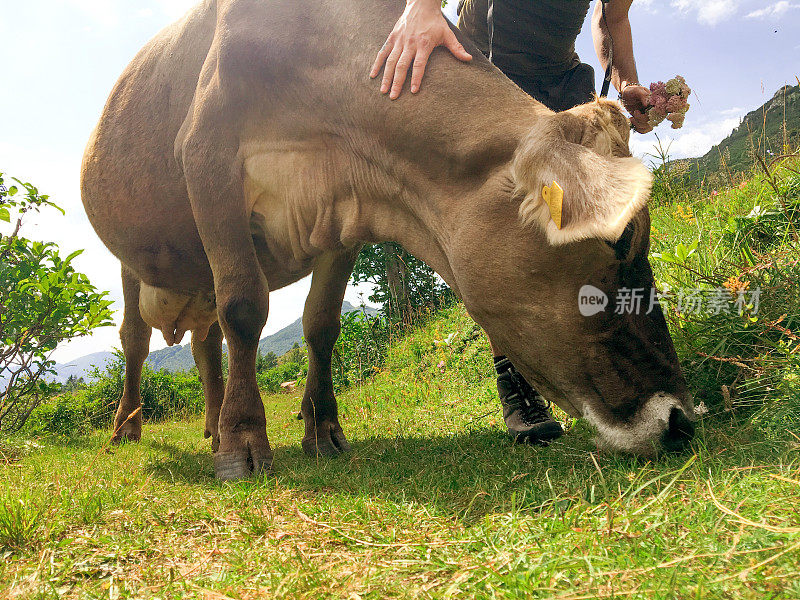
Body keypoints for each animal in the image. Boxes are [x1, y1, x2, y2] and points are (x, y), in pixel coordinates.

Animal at [79, 0, 692, 478]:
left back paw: (210, 423)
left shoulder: (341, 210)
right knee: (136, 340)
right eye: (618, 243)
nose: (680, 418)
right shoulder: (208, 161)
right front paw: (244, 443)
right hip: (133, 264)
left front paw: (322, 429)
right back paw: (128, 426)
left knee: (205, 343)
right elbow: (245, 307)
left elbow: (321, 324)